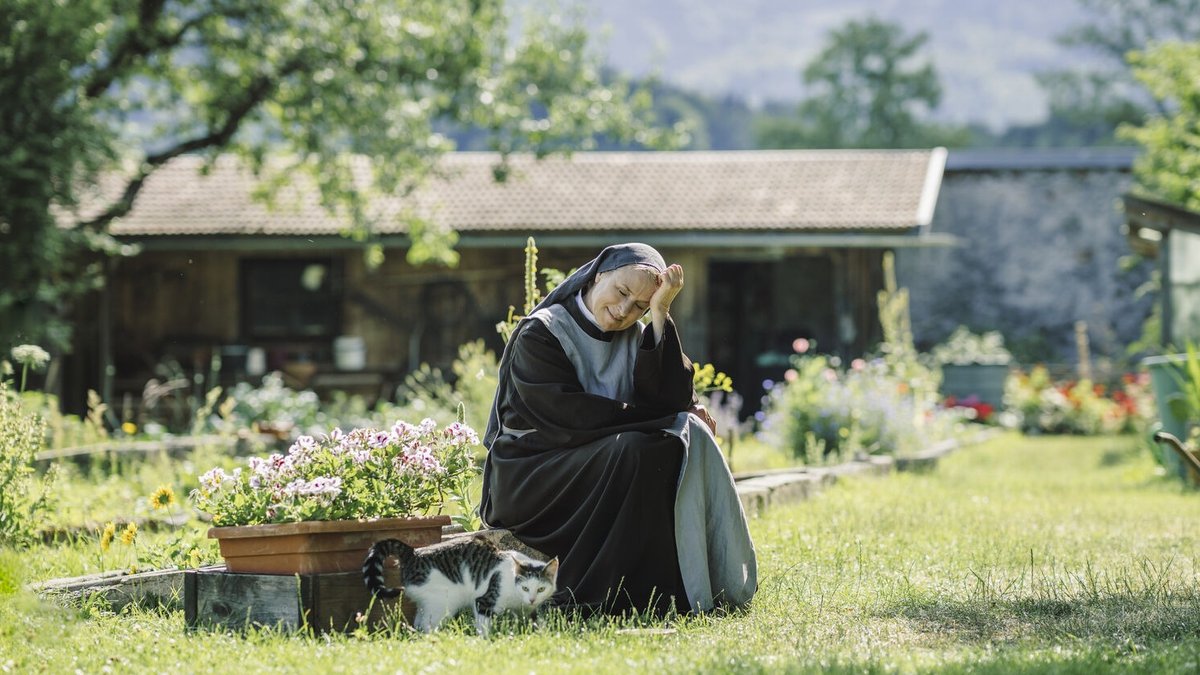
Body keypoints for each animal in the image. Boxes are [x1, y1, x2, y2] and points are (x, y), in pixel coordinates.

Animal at [362, 530, 559, 634]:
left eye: (541, 589)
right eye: (525, 588)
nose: (532, 599)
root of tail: (413, 552)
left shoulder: (526, 610)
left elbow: (534, 621)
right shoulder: (484, 602)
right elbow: (483, 627)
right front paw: (487, 641)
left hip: (429, 603)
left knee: (418, 622)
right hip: (443, 603)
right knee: (427, 625)